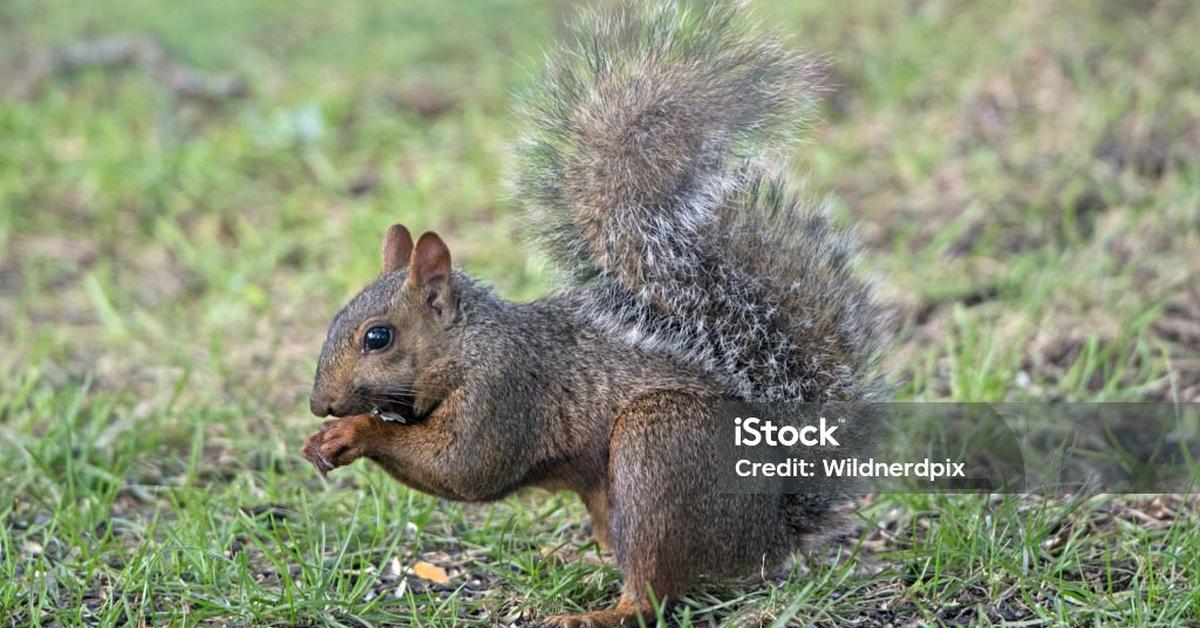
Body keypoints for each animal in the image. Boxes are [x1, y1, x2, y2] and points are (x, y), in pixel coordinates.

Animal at [304, 2, 888, 624]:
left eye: (378, 337)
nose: (319, 404)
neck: (471, 343)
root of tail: (766, 537)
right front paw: (321, 440)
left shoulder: (505, 392)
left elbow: (466, 467)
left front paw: (352, 431)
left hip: (658, 448)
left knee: (655, 588)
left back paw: (603, 611)